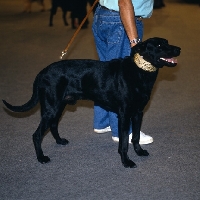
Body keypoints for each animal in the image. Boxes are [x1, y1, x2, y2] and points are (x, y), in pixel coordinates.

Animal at [2, 38, 181, 169]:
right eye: (159, 45)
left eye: (166, 41)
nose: (179, 49)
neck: (139, 72)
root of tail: (42, 72)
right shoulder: (124, 115)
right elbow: (124, 142)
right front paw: (126, 161)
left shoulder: (138, 113)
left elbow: (135, 137)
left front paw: (139, 152)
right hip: (51, 108)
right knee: (37, 135)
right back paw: (41, 158)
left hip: (58, 106)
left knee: (53, 125)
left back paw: (60, 141)